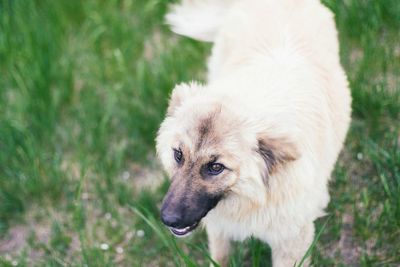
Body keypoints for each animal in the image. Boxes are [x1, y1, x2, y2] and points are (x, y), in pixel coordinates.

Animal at [155, 0, 350, 266]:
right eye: (178, 155)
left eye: (215, 167)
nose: (168, 219)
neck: (256, 198)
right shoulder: (219, 227)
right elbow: (220, 256)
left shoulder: (290, 242)